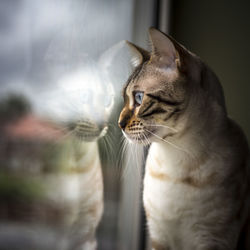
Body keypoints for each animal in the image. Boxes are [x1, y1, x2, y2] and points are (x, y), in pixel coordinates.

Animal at [118, 27, 250, 250]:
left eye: (138, 98)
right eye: (125, 98)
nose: (118, 123)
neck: (176, 154)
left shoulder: (212, 239)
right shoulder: (158, 237)